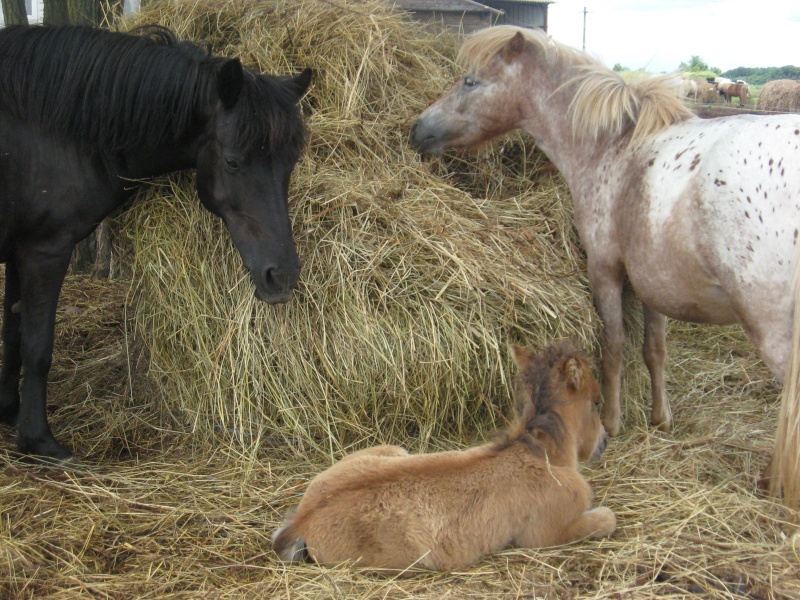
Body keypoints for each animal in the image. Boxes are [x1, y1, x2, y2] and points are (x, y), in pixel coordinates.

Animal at [0, 24, 310, 464]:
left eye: (290, 163)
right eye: (233, 162)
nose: (282, 276)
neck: (51, 132)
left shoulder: (18, 251)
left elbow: (12, 333)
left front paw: (9, 411)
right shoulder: (45, 251)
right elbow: (38, 345)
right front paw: (37, 440)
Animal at [272, 340, 616, 576]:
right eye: (597, 401)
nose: (603, 442)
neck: (541, 454)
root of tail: (301, 523)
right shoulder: (546, 533)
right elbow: (605, 518)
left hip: (392, 451)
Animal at [410, 25, 800, 504]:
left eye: (470, 81)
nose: (417, 129)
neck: (614, 147)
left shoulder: (606, 271)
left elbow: (613, 347)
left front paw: (612, 423)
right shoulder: (652, 283)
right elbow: (654, 350)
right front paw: (661, 418)